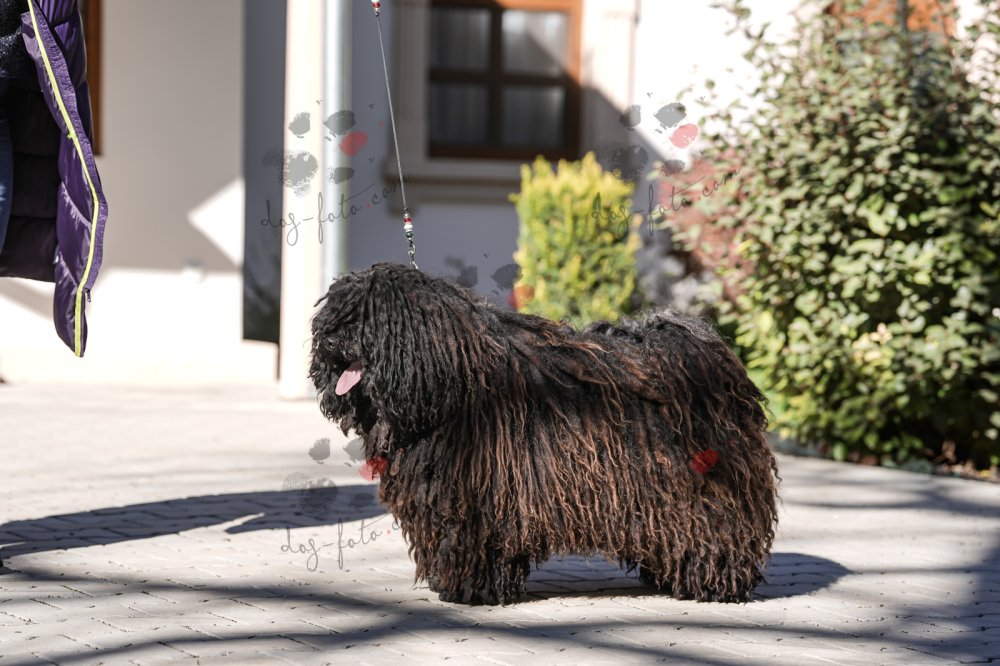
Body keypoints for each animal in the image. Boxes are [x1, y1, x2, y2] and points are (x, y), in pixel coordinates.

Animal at [310, 263, 778, 605]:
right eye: (333, 316)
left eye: (365, 318)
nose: (330, 341)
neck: (451, 380)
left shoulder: (480, 493)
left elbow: (475, 539)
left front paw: (471, 589)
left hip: (704, 487)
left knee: (718, 526)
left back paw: (716, 581)